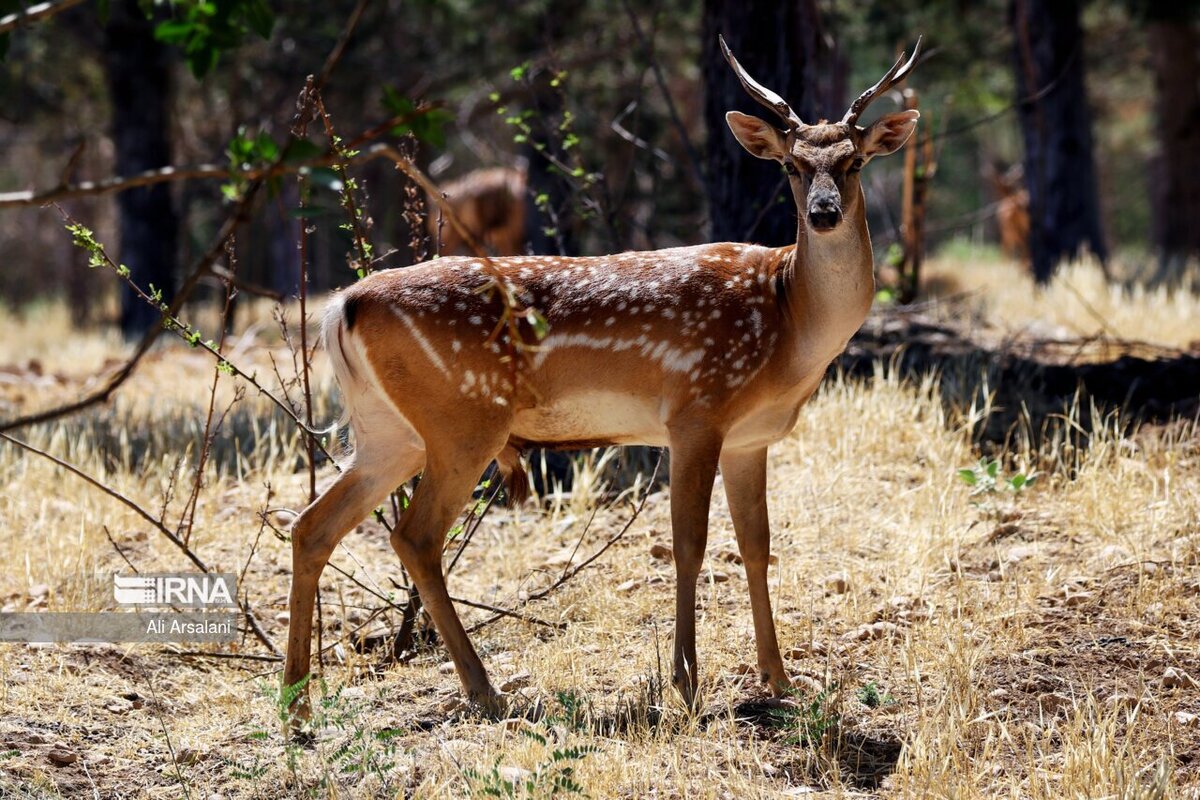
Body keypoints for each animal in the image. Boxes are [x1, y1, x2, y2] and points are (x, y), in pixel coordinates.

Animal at [285, 35, 921, 724]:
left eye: (854, 161)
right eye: (791, 167)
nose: (824, 214)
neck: (788, 320)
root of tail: (341, 306)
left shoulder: (751, 437)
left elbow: (757, 545)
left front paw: (778, 679)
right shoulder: (696, 412)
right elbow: (690, 544)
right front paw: (686, 683)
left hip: (388, 432)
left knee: (312, 525)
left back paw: (297, 703)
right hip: (462, 420)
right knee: (415, 537)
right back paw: (486, 691)